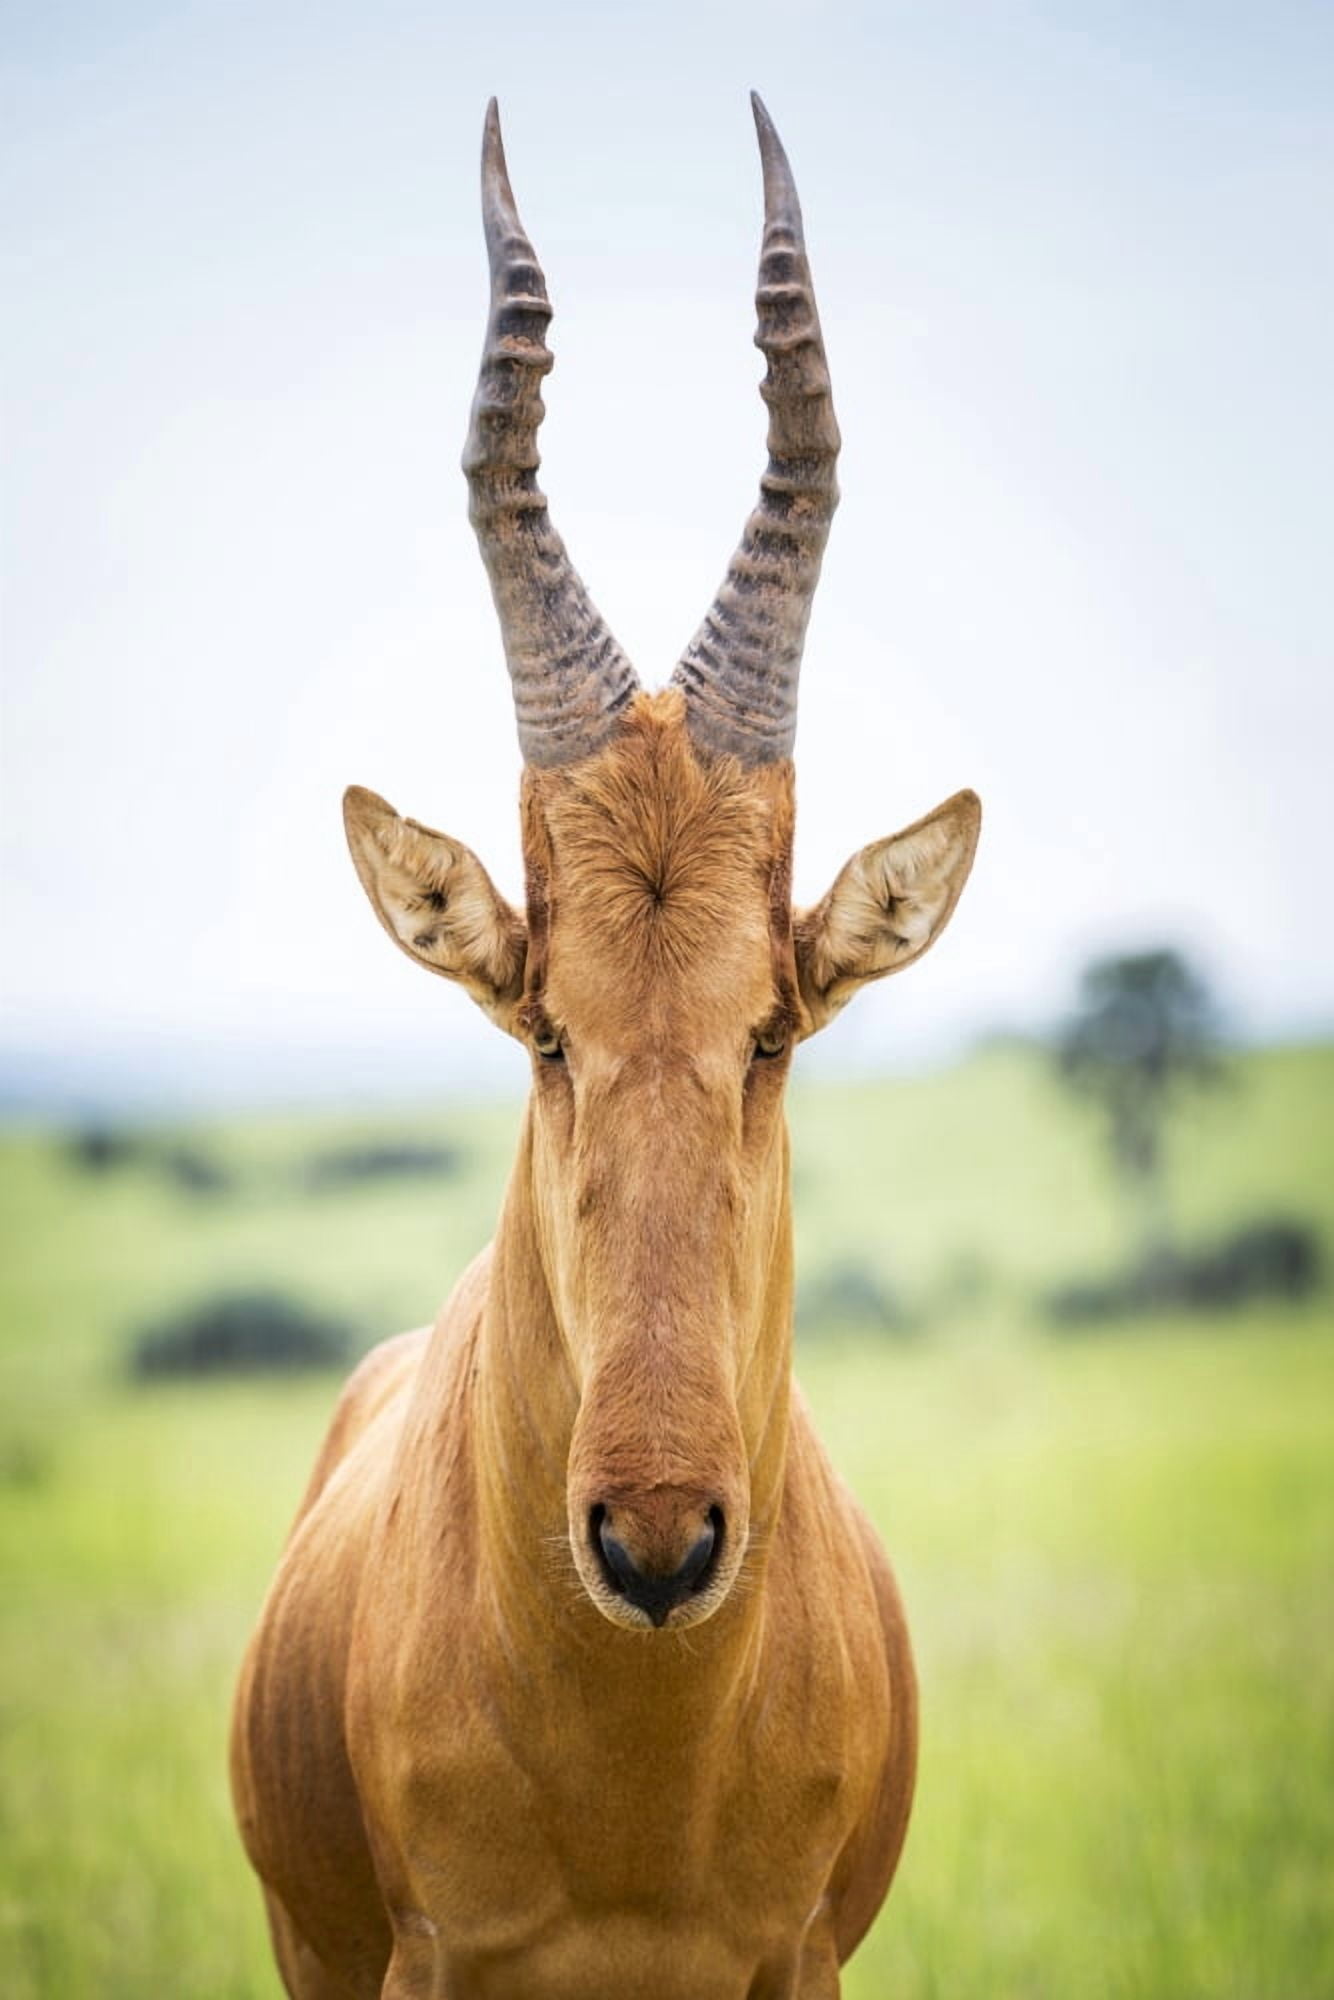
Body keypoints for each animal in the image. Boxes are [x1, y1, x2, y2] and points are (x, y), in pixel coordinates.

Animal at [231, 95, 980, 1999]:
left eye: (770, 1028)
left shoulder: (801, 1961)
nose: (655, 1543)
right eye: (545, 1030)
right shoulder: (423, 1963)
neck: (637, 1754)